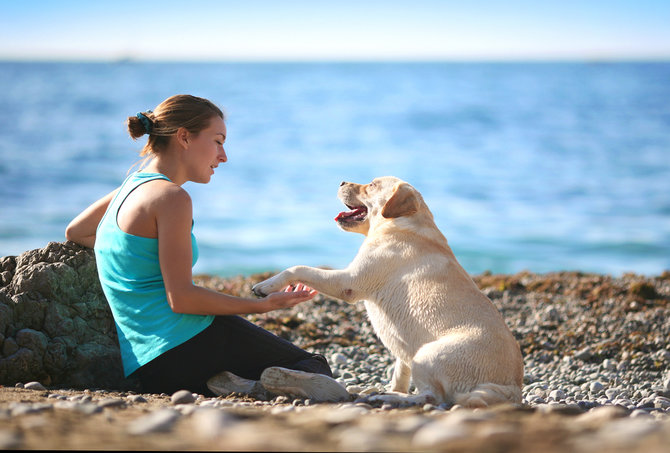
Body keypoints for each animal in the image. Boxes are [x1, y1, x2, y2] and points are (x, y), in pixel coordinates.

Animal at [253, 177, 524, 406]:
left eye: (371, 185)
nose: (341, 182)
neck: (400, 223)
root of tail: (512, 389)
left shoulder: (348, 281)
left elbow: (298, 268)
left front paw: (267, 285)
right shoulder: (403, 350)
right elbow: (399, 373)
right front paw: (391, 388)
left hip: (429, 354)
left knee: (431, 397)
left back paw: (388, 399)